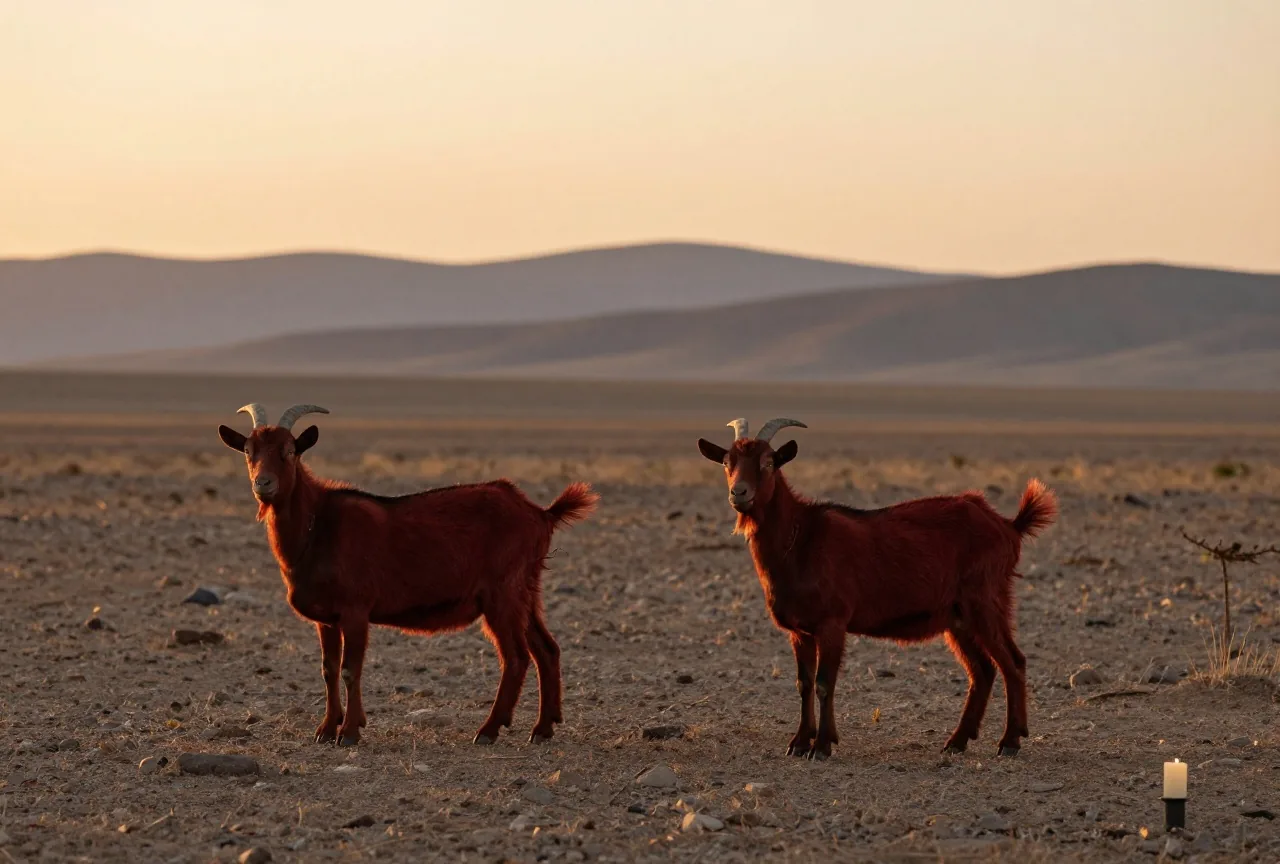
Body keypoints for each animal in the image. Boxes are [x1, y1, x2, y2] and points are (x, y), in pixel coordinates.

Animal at [218, 403, 598, 747]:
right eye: (248, 452)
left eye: (290, 451)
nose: (263, 484)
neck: (317, 525)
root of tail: (541, 513)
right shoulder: (327, 619)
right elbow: (328, 669)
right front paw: (326, 729)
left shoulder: (355, 611)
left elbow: (350, 669)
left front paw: (349, 732)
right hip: (526, 591)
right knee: (546, 649)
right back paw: (543, 728)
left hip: (502, 594)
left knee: (516, 657)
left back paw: (489, 730)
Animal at [697, 417, 1056, 761]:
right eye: (727, 462)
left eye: (769, 461)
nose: (739, 493)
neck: (800, 539)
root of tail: (1008, 526)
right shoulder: (800, 631)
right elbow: (804, 683)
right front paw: (799, 743)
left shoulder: (832, 623)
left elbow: (825, 683)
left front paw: (822, 746)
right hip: (957, 618)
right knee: (982, 670)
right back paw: (957, 742)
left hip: (986, 600)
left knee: (1013, 662)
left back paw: (1010, 742)